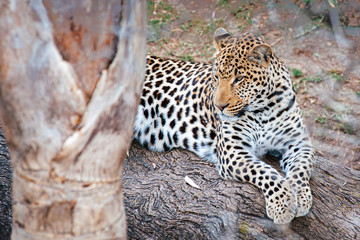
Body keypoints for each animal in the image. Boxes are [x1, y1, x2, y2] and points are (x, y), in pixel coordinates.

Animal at [133, 28, 316, 225]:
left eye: (239, 79)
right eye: (216, 77)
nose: (219, 106)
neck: (264, 109)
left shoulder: (298, 142)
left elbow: (301, 168)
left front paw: (301, 196)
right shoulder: (232, 151)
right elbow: (266, 172)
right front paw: (283, 203)